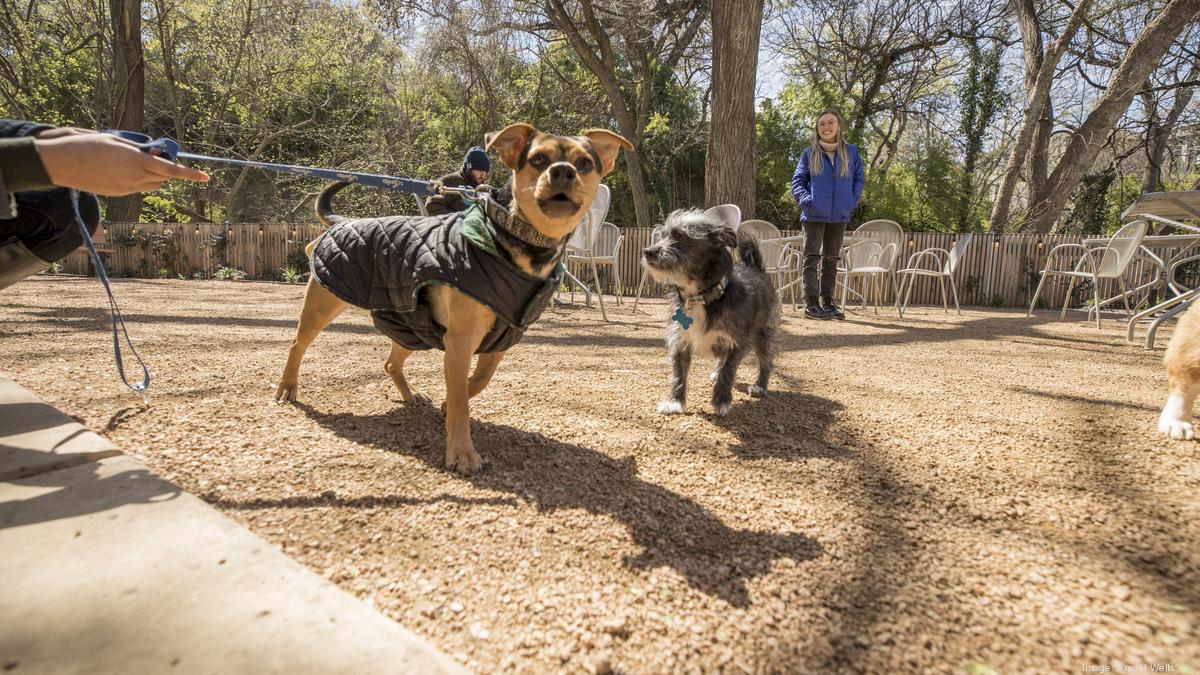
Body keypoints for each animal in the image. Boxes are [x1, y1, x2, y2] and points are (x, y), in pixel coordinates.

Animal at [271, 123, 628, 470]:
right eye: (538, 159)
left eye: (585, 163)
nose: (563, 171)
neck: (521, 243)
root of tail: (344, 222)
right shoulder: (460, 341)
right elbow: (460, 401)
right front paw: (462, 453)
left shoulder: (498, 341)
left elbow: (478, 381)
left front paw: (449, 405)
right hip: (324, 303)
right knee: (297, 344)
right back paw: (287, 387)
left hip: (412, 328)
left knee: (390, 362)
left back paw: (410, 396)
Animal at [643, 207, 782, 413]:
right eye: (662, 235)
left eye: (679, 235)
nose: (648, 252)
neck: (700, 297)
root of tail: (756, 268)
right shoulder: (680, 341)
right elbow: (678, 373)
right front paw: (675, 402)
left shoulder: (736, 342)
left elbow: (728, 371)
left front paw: (721, 401)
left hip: (762, 334)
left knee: (766, 360)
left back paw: (760, 386)